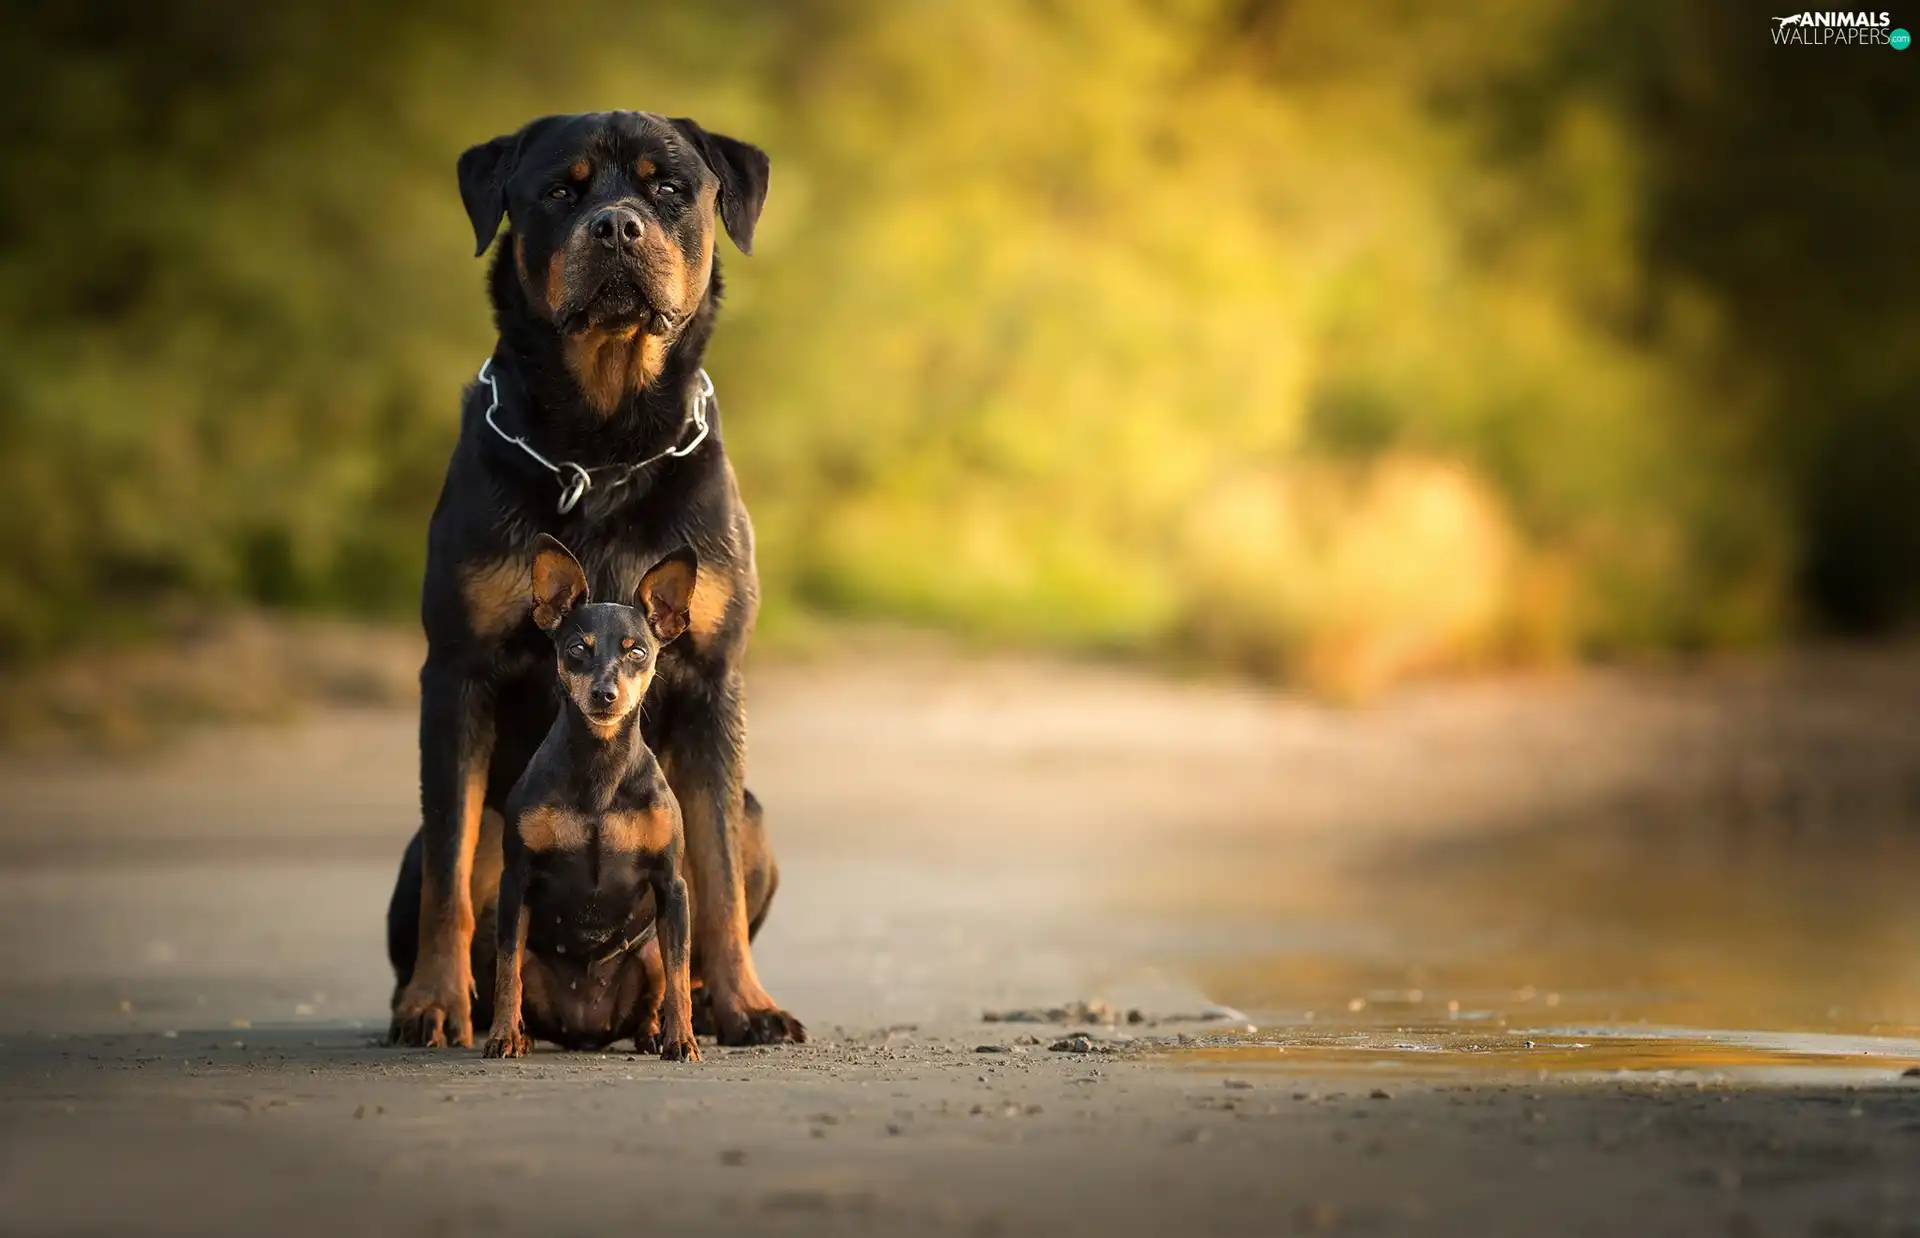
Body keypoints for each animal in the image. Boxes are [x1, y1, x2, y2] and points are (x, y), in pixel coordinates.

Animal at [483, 533, 702, 1059]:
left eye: (637, 651)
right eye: (577, 650)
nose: (605, 693)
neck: (600, 767)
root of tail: (588, 1031)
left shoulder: (672, 886)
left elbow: (681, 975)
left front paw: (682, 1040)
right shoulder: (514, 882)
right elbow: (506, 971)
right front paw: (501, 1036)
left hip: (649, 951)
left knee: (660, 984)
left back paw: (652, 1034)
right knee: (516, 972)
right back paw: (521, 1034)